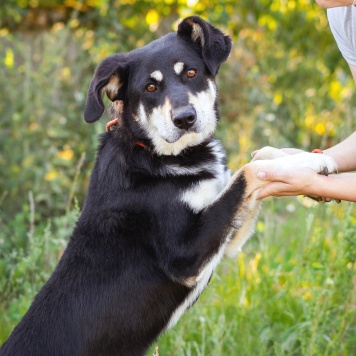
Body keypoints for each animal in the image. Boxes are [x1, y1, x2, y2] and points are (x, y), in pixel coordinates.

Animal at [0, 16, 338, 356]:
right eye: (150, 87)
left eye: (191, 73)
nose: (185, 118)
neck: (155, 153)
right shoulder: (185, 256)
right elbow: (249, 172)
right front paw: (311, 163)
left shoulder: (227, 240)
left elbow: (260, 157)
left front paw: (307, 158)